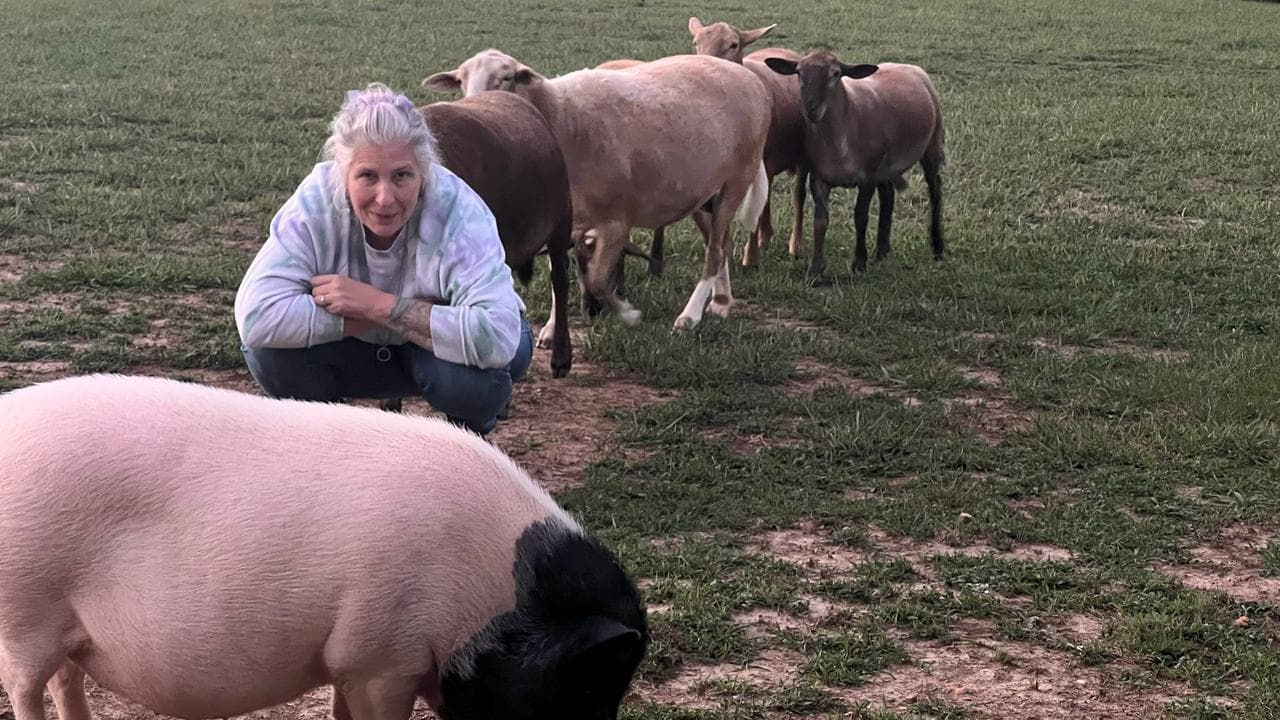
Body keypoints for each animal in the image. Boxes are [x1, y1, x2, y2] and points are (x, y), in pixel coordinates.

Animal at [0, 374, 648, 720]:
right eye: (584, 685)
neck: (488, 598)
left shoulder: (348, 657)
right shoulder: (382, 654)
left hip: (64, 626)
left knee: (65, 680)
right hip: (24, 607)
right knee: (26, 687)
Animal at [424, 50, 772, 329]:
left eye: (507, 78)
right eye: (460, 80)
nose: (474, 106)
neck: (560, 117)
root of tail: (750, 77)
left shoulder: (615, 221)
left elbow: (596, 280)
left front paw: (623, 312)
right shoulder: (564, 224)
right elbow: (561, 276)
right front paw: (552, 330)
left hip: (737, 178)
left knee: (714, 251)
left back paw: (690, 316)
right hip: (701, 192)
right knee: (720, 242)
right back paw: (721, 302)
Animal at [764, 51, 945, 284]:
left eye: (835, 74)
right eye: (799, 72)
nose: (810, 109)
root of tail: (909, 66)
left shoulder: (867, 177)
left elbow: (860, 217)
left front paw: (859, 263)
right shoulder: (819, 178)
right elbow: (820, 221)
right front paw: (815, 270)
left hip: (932, 143)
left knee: (935, 191)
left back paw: (938, 247)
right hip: (885, 165)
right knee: (888, 196)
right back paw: (882, 251)